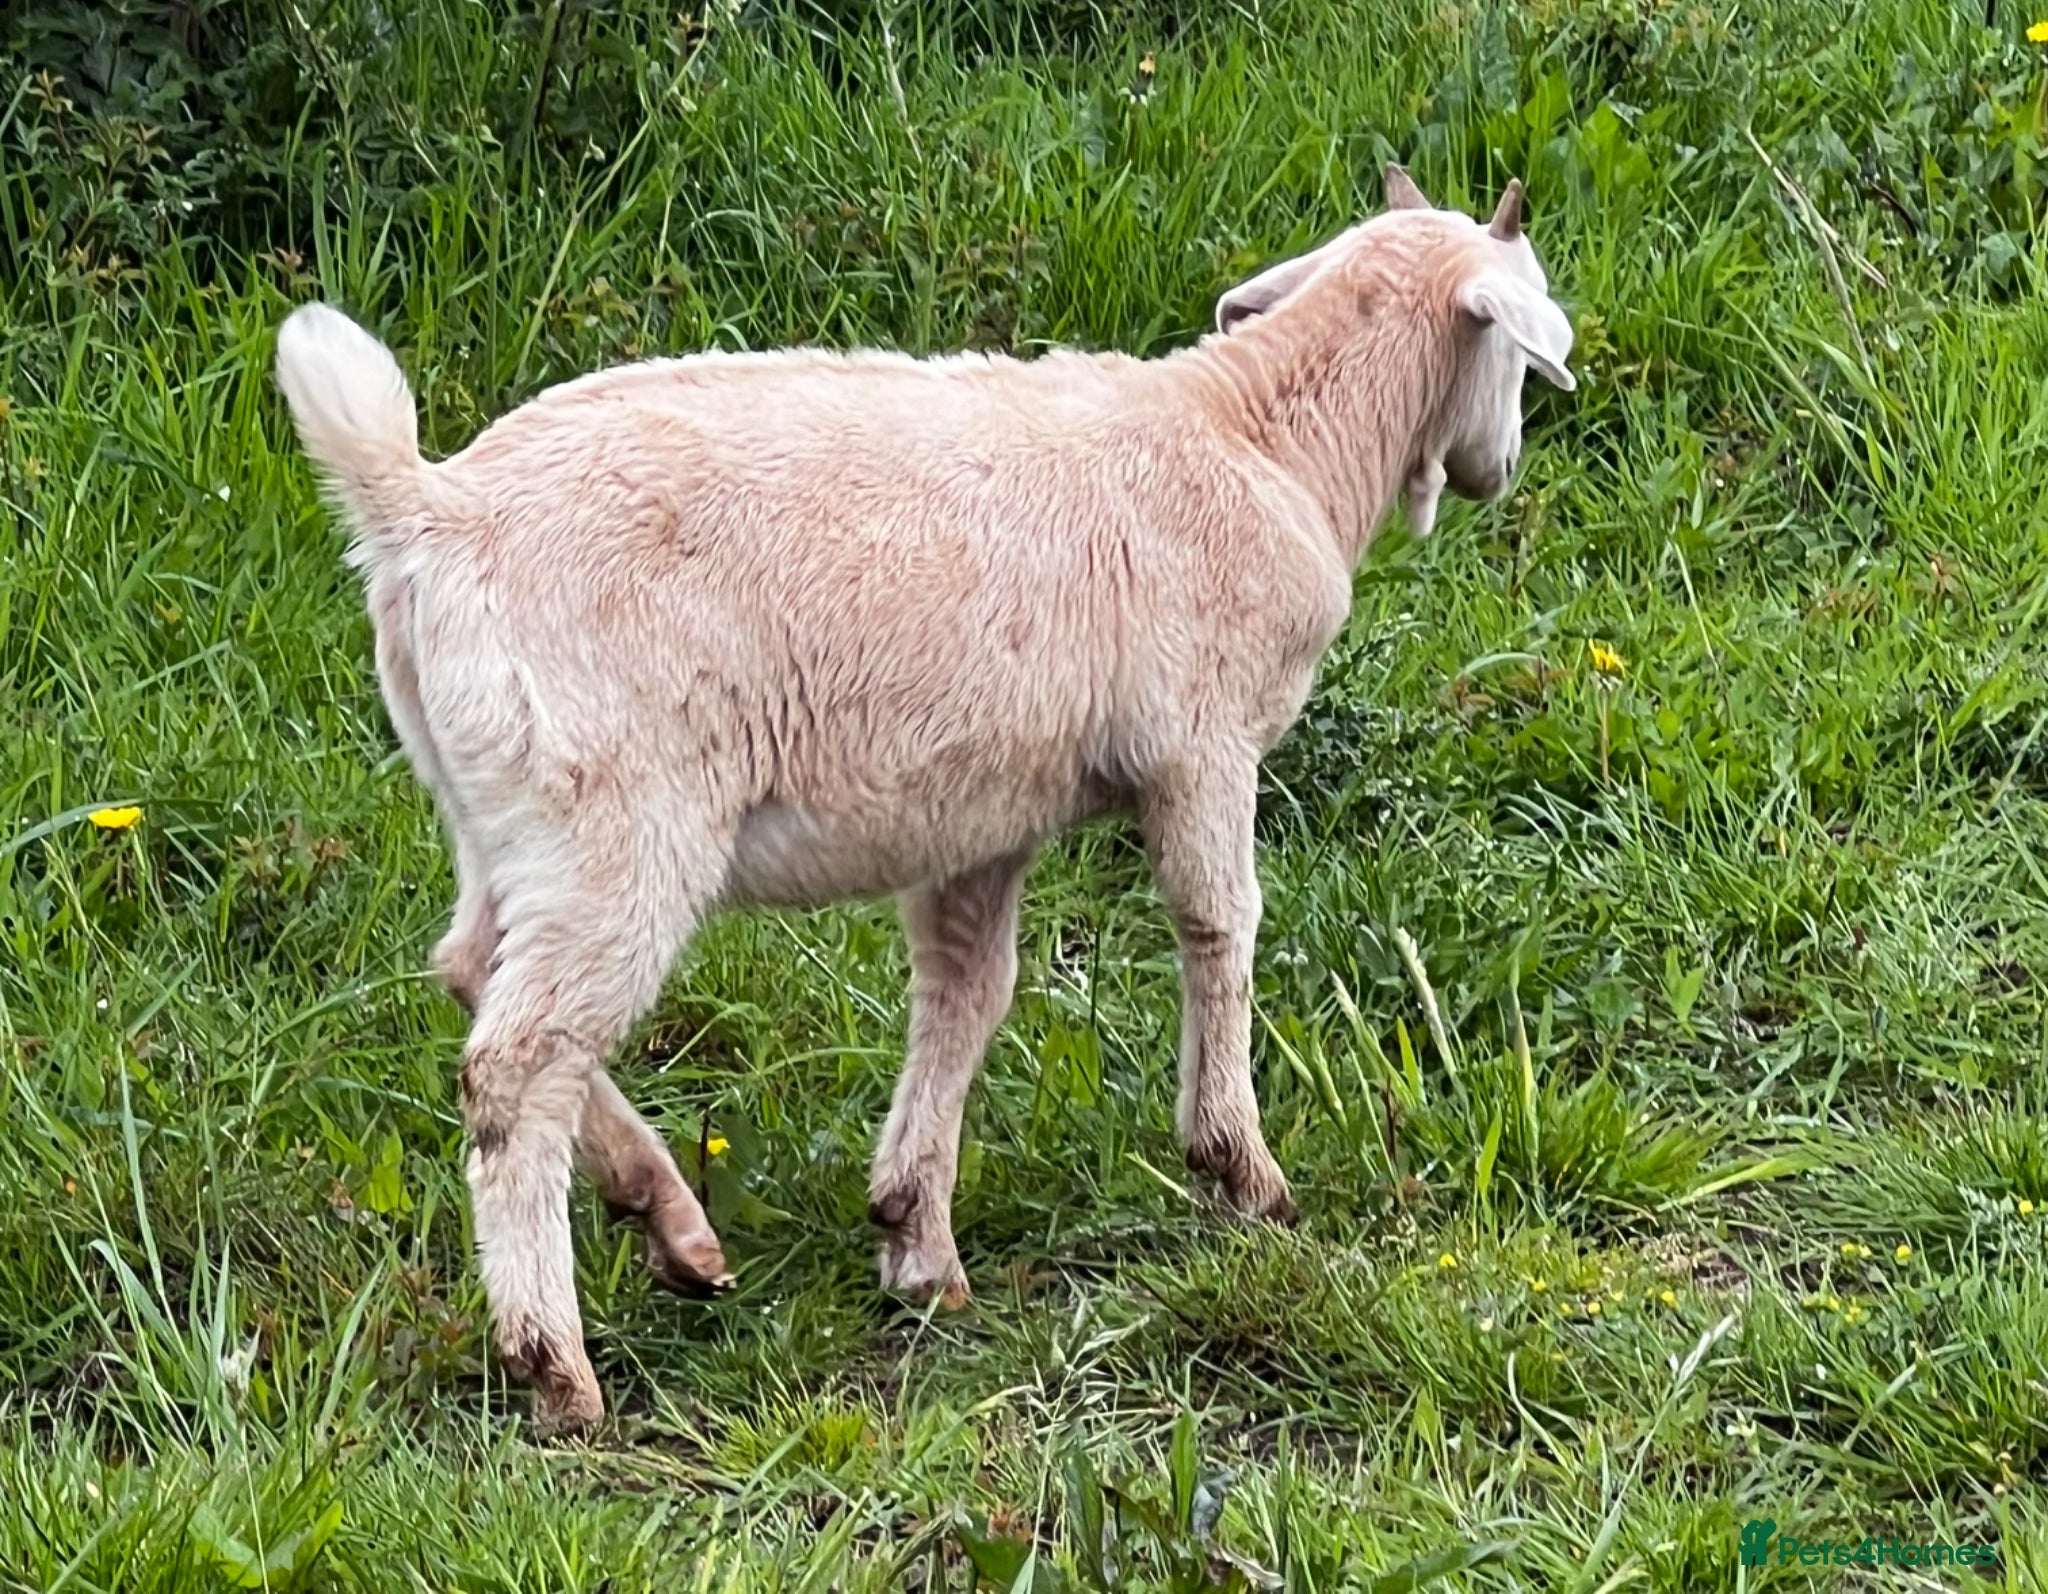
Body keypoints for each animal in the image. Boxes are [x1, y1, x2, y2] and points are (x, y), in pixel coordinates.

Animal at [275, 165, 1574, 1429]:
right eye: (1517, 353)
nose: (1502, 467)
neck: (1265, 439)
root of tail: (425, 515)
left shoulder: (981, 809)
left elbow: (965, 994)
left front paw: (916, 1239)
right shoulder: (1200, 743)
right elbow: (1219, 927)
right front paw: (1237, 1170)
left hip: (501, 805)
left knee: (470, 968)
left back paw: (670, 1221)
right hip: (616, 815)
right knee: (514, 1061)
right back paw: (554, 1364)